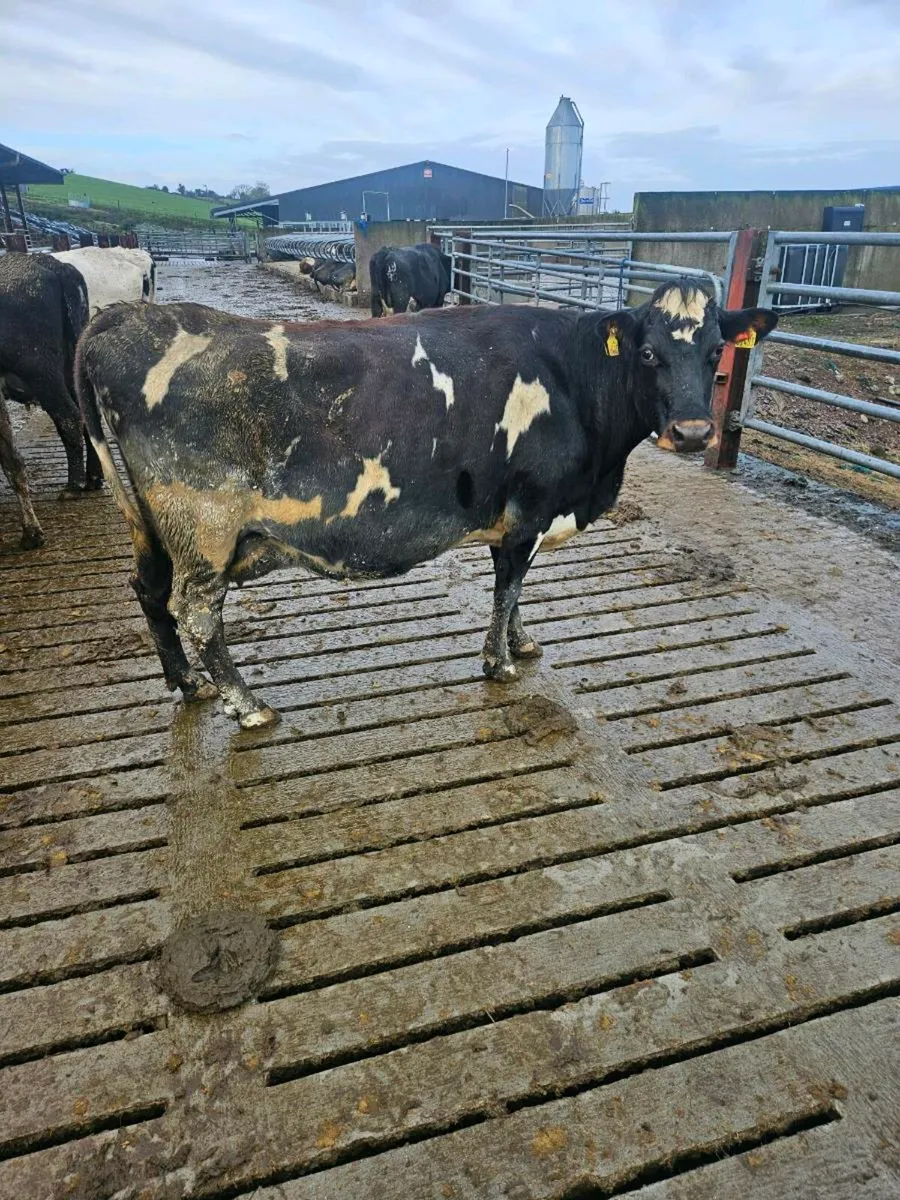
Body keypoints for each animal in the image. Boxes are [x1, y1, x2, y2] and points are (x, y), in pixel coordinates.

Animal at [0, 253, 96, 548]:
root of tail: (54, 265)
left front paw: (31, 532)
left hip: (41, 369)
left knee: (69, 417)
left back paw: (74, 485)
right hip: (70, 362)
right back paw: (93, 478)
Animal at [76, 279, 777, 727]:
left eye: (716, 352)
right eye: (649, 352)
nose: (694, 432)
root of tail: (122, 319)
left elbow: (514, 593)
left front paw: (522, 643)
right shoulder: (528, 508)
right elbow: (509, 587)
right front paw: (499, 663)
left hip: (148, 523)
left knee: (147, 590)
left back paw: (188, 684)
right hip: (204, 529)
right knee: (195, 611)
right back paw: (247, 706)